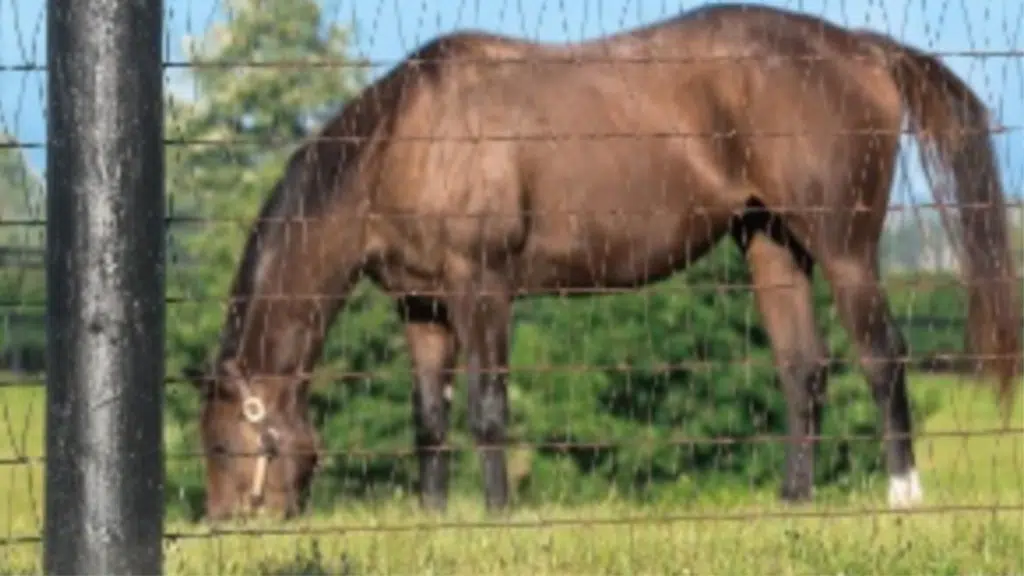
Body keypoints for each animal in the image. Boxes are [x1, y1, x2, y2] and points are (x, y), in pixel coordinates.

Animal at [183, 3, 1022, 520]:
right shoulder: (422, 308)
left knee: (882, 356)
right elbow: (430, 419)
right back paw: (795, 498)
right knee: (802, 370)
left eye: (224, 443)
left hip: (845, 250)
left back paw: (904, 493)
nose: (228, 525)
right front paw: (434, 517)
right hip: (771, 245)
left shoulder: (483, 288)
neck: (410, 137)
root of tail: (860, 47)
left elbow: (487, 406)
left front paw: (495, 515)